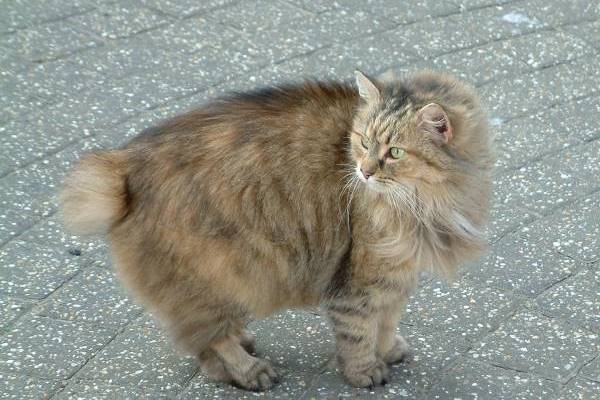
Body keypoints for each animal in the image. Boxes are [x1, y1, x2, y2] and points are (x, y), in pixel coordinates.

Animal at [59, 69, 492, 390]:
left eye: (395, 153)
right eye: (362, 141)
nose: (364, 171)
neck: (427, 202)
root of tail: (124, 169)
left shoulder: (399, 273)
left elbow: (387, 320)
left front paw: (388, 349)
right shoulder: (359, 279)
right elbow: (358, 331)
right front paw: (364, 371)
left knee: (202, 339)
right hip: (214, 269)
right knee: (211, 339)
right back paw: (250, 370)